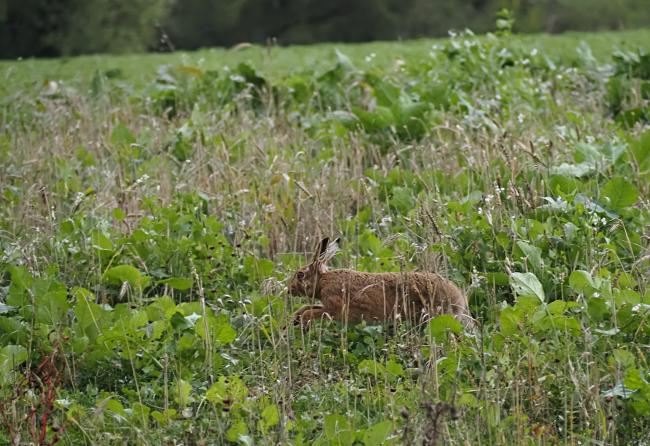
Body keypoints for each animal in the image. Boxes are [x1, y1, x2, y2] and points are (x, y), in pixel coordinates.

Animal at [288, 237, 475, 328]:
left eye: (300, 275)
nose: (289, 289)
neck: (323, 281)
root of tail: (460, 299)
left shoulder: (334, 307)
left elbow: (311, 313)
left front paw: (301, 322)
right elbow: (306, 307)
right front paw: (295, 319)